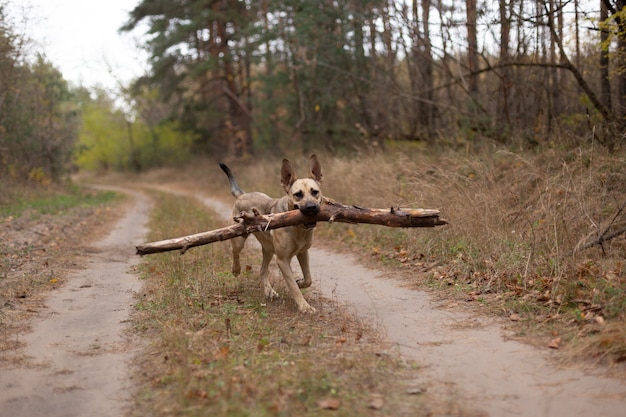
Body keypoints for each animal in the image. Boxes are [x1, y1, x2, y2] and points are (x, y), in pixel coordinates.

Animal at [218, 155, 322, 312]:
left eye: (315, 192)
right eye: (298, 195)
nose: (311, 208)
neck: (298, 228)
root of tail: (243, 195)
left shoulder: (303, 252)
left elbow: (308, 279)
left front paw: (301, 282)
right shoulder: (282, 260)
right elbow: (293, 286)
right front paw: (304, 306)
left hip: (268, 249)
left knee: (263, 270)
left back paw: (269, 291)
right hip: (239, 240)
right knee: (235, 252)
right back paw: (236, 269)